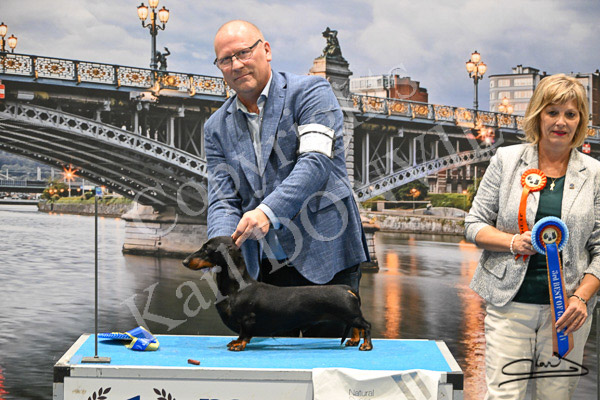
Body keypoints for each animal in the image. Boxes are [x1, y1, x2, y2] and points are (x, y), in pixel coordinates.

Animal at [182, 236, 373, 351]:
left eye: (206, 249)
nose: (184, 261)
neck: (237, 286)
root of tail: (345, 288)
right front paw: (235, 341)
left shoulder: (247, 319)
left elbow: (244, 334)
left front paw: (239, 344)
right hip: (349, 316)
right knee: (357, 327)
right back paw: (354, 341)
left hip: (350, 314)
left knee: (366, 326)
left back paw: (366, 346)